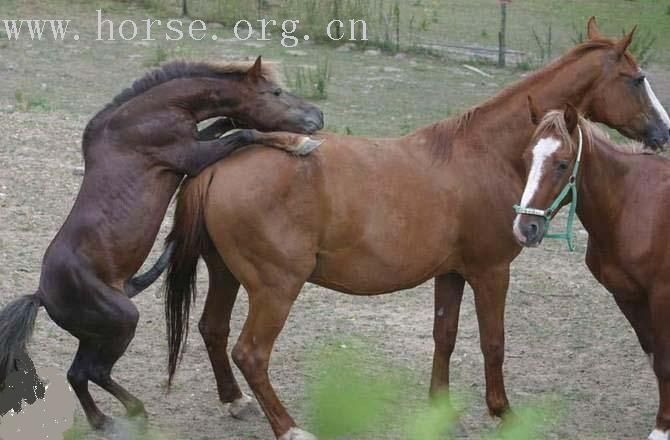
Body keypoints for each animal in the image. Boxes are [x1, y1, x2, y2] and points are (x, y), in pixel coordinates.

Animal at [0, 56, 326, 432]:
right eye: (274, 92)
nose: (318, 117)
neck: (148, 114)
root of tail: (41, 295)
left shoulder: (198, 140)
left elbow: (226, 123)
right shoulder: (192, 155)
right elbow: (242, 132)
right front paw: (301, 143)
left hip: (97, 334)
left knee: (78, 374)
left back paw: (104, 421)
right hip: (122, 322)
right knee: (94, 371)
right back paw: (134, 412)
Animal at [512, 105, 668, 438]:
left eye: (562, 164)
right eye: (526, 158)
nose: (525, 228)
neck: (632, 206)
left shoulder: (662, 297)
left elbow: (664, 360)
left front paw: (663, 428)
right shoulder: (627, 296)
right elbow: (653, 355)